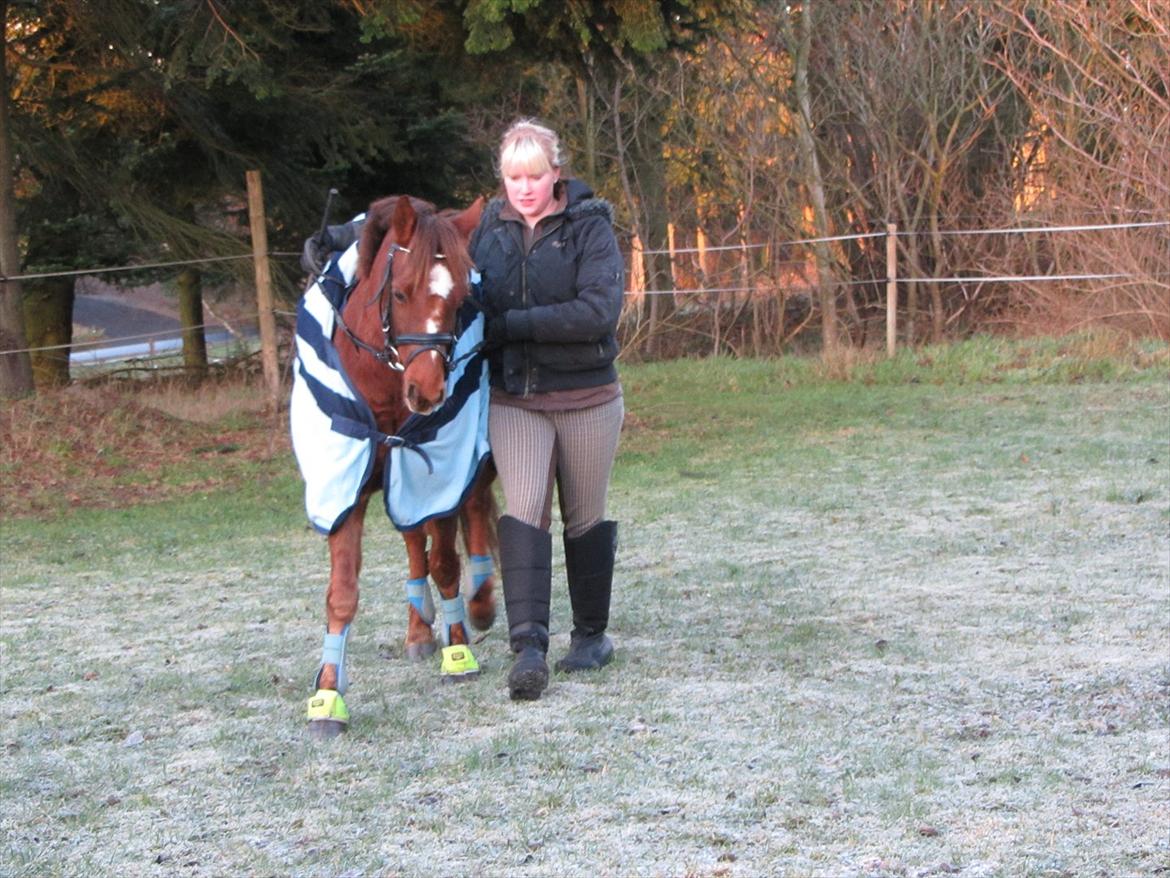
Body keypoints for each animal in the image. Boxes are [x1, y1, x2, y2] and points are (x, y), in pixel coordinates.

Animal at [306, 194, 493, 744]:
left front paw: (459, 651)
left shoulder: (438, 478)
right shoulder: (345, 488)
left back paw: (479, 603)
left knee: (472, 523)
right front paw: (327, 697)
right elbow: (342, 595)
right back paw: (418, 628)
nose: (427, 390)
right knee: (414, 544)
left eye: (460, 301)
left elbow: (446, 564)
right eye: (402, 292)